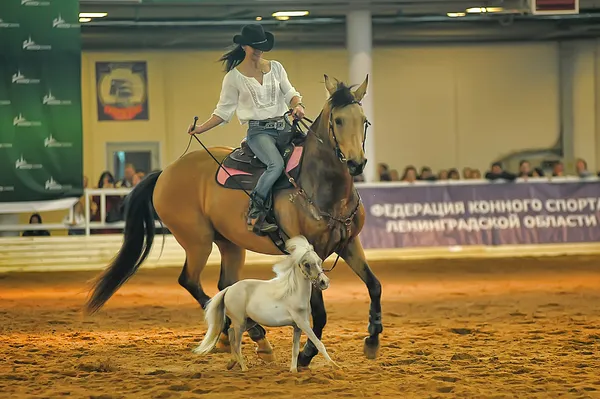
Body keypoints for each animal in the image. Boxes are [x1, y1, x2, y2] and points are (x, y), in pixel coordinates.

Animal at [192, 236, 338, 374]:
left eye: (319, 261)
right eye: (307, 264)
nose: (324, 282)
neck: (294, 293)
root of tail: (229, 289)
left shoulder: (297, 327)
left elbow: (295, 349)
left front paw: (293, 370)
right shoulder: (303, 324)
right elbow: (319, 343)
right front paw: (335, 366)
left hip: (248, 321)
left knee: (231, 332)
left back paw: (232, 363)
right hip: (240, 322)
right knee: (237, 343)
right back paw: (244, 368)